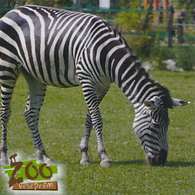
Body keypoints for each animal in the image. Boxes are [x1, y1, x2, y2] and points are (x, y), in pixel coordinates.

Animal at [0, 5, 190, 168]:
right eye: (155, 126)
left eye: (168, 125)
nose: (161, 160)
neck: (108, 57)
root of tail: (12, 10)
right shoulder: (86, 81)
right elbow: (97, 119)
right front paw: (104, 157)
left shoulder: (103, 85)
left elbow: (89, 118)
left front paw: (84, 155)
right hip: (7, 67)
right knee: (5, 112)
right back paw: (4, 157)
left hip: (34, 75)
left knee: (30, 113)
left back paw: (43, 156)